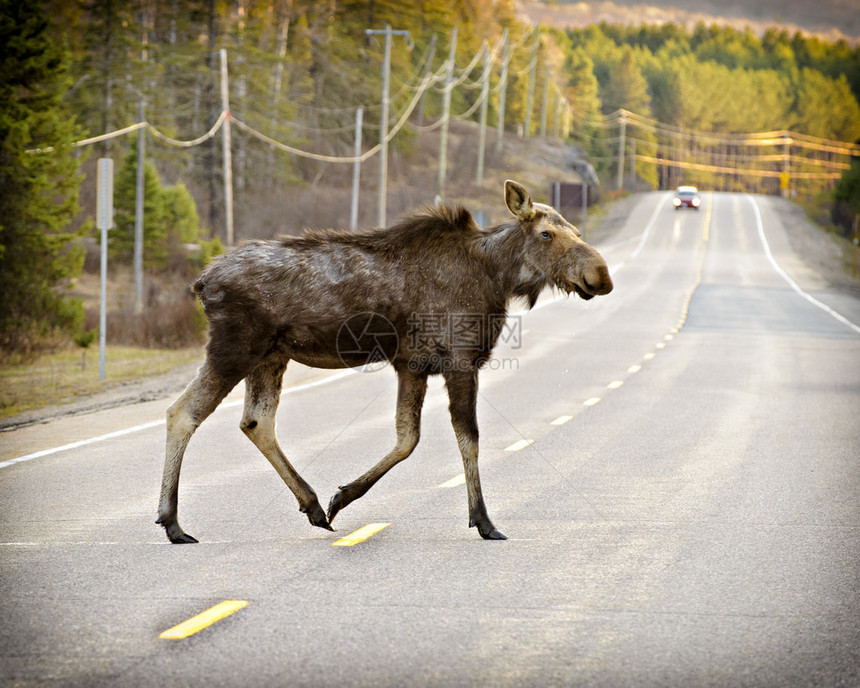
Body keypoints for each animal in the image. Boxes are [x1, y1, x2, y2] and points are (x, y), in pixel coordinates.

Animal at [155, 181, 612, 544]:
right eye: (547, 233)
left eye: (577, 231)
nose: (600, 275)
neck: (498, 279)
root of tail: (201, 282)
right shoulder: (460, 360)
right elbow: (469, 437)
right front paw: (483, 521)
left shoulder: (412, 364)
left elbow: (407, 438)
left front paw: (341, 497)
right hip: (234, 347)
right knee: (183, 412)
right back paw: (172, 522)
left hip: (271, 355)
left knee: (256, 421)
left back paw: (313, 505)